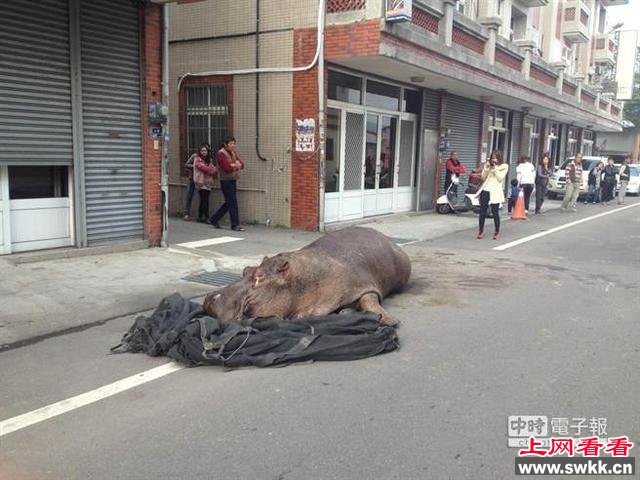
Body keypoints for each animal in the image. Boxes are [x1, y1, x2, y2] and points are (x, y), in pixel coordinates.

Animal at [204, 226, 410, 326]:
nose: (210, 297)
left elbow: (370, 300)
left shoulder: (360, 283)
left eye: (259, 276)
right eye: (245, 269)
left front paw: (391, 321)